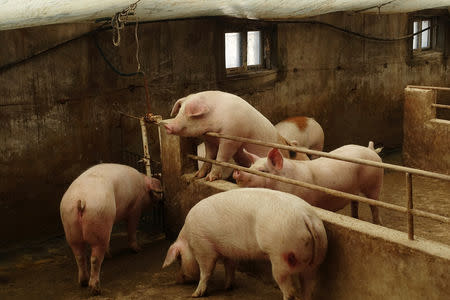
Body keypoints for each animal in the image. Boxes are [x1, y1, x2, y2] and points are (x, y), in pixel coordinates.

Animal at [59, 163, 162, 294]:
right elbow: (132, 229)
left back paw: (84, 282)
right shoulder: (135, 208)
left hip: (71, 225)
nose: (162, 198)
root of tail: (81, 200)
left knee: (80, 256)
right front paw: (138, 249)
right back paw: (96, 289)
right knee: (95, 258)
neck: (143, 185)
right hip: (99, 217)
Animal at [162, 90, 306, 182]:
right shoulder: (210, 139)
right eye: (179, 111)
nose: (167, 126)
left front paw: (210, 179)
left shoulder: (232, 136)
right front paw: (198, 176)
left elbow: (220, 157)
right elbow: (209, 157)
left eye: (189, 115)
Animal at [162, 188, 326, 300]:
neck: (189, 239)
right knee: (309, 287)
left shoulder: (203, 247)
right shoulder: (229, 251)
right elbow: (230, 267)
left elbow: (206, 271)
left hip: (281, 255)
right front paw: (227, 287)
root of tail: (306, 217)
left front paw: (195, 294)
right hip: (316, 260)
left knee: (289, 291)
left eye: (179, 259)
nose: (178, 279)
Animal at [232, 142, 384, 224]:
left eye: (262, 170)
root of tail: (370, 150)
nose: (238, 171)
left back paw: (377, 223)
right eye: (250, 167)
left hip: (375, 182)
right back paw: (355, 218)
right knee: (355, 202)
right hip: (354, 190)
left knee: (374, 205)